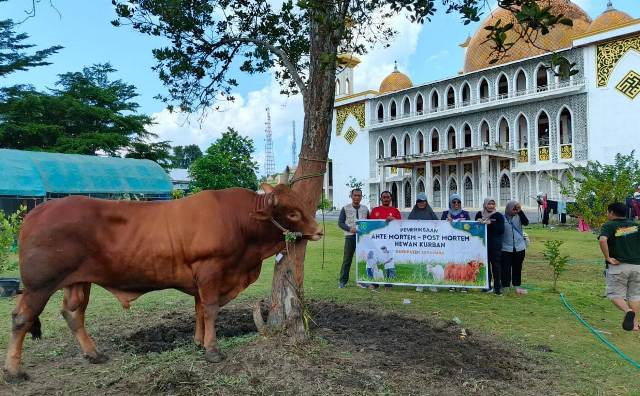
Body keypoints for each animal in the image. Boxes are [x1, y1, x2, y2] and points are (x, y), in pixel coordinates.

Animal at [3, 183, 324, 380]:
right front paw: (212, 350)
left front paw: (198, 342)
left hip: (78, 280)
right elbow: (210, 309)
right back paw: (14, 370)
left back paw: (93, 353)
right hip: (39, 285)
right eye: (292, 212)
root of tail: (38, 211)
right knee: (21, 318)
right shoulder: (210, 270)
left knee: (73, 313)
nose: (320, 231)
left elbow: (198, 309)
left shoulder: (200, 278)